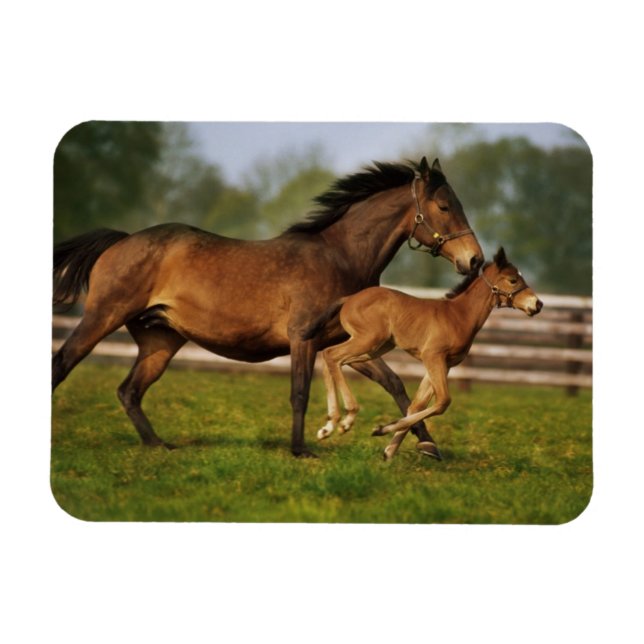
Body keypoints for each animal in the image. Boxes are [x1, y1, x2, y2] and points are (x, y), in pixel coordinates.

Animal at [52, 156, 484, 458]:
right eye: (444, 206)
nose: (475, 260)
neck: (340, 257)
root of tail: (121, 240)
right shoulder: (304, 337)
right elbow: (300, 392)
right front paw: (303, 448)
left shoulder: (348, 342)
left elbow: (395, 384)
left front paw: (426, 445)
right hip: (103, 317)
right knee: (64, 364)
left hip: (159, 341)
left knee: (129, 391)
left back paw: (158, 445)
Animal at [304, 248, 542, 460]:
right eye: (513, 280)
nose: (537, 304)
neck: (459, 316)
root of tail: (349, 298)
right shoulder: (432, 356)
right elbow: (443, 401)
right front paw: (382, 430)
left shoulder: (443, 364)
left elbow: (417, 404)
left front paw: (389, 450)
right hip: (368, 340)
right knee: (332, 354)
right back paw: (346, 419)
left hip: (376, 347)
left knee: (332, 358)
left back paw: (330, 424)